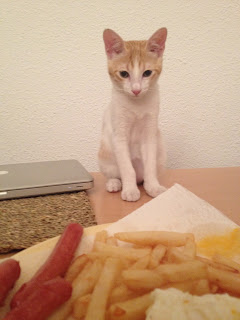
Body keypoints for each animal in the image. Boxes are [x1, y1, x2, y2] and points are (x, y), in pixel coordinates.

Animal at [97, 28, 167, 202]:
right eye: (124, 74)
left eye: (147, 73)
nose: (136, 90)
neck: (137, 106)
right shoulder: (119, 136)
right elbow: (127, 169)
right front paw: (129, 190)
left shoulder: (150, 134)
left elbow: (150, 166)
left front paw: (153, 187)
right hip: (105, 156)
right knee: (114, 174)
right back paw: (114, 183)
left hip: (161, 155)